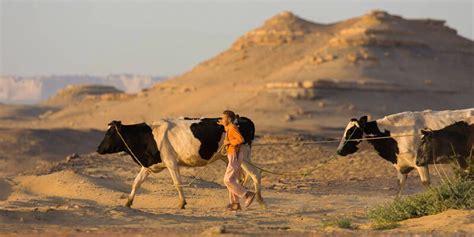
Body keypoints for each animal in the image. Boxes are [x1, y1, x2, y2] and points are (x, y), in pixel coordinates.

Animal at [95, 117, 266, 208]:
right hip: (229, 158)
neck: (148, 136)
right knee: (240, 177)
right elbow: (136, 182)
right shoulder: (148, 165)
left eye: (108, 133)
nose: (98, 149)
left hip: (242, 155)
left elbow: (177, 183)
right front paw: (128, 202)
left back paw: (259, 200)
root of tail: (243, 119)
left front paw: (182, 203)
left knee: (255, 173)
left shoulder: (171, 162)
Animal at [336, 108, 474, 195]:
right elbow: (399, 188)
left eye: (351, 132)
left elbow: (426, 183)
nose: (339, 151)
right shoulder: (402, 167)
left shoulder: (420, 163)